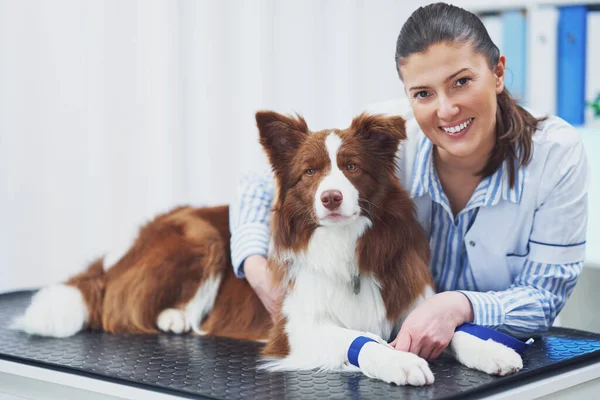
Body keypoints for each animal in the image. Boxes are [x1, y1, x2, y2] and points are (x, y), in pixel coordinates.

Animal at [11, 111, 524, 386]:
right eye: (310, 172)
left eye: (352, 167)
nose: (331, 197)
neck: (342, 245)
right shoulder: (294, 330)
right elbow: (363, 340)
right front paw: (400, 360)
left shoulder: (410, 303)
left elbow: (452, 330)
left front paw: (492, 352)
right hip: (201, 234)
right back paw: (177, 317)